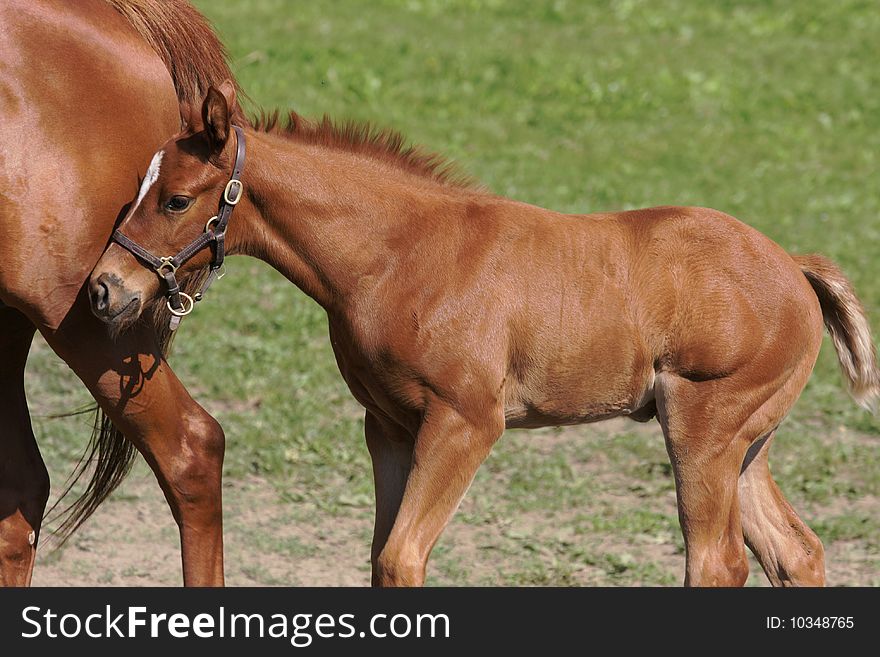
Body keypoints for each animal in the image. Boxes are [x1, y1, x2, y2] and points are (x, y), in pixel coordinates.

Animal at [86, 80, 876, 584]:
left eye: (177, 199)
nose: (103, 289)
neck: (402, 255)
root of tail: (792, 266)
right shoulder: (389, 426)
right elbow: (381, 559)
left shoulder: (465, 422)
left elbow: (402, 558)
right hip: (744, 442)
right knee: (797, 552)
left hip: (703, 428)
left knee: (716, 563)